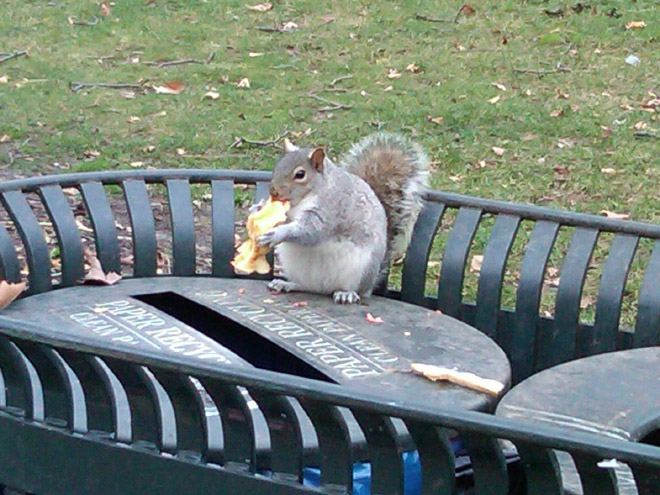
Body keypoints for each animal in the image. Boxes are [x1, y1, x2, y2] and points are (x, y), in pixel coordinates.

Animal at [258, 132, 428, 304]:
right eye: (278, 166)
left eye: (300, 174)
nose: (273, 192)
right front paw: (258, 208)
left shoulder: (332, 209)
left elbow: (311, 231)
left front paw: (277, 233)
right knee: (307, 286)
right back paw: (286, 284)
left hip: (361, 270)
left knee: (354, 289)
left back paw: (346, 294)